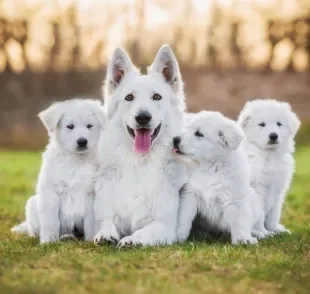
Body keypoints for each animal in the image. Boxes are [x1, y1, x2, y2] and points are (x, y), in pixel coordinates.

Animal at [11, 99, 105, 243]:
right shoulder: (51, 191)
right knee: (34, 230)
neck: (75, 160)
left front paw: (90, 240)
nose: (82, 141)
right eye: (70, 126)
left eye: (89, 126)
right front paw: (48, 241)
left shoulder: (92, 194)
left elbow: (91, 222)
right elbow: (51, 221)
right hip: (32, 204)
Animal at [93, 45, 188, 248]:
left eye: (157, 97)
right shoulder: (106, 214)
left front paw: (132, 239)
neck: (139, 162)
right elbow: (107, 222)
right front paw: (105, 234)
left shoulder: (164, 225)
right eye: (129, 97)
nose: (143, 117)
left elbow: (146, 231)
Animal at [174, 111, 266, 245]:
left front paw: (243, 239)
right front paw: (178, 238)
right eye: (187, 127)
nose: (174, 139)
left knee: (257, 225)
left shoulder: (235, 199)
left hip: (256, 203)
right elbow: (183, 218)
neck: (209, 168)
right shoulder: (190, 195)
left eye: (199, 134)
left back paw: (261, 234)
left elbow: (240, 222)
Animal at [237, 99, 300, 234]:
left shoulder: (277, 190)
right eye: (262, 124)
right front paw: (264, 233)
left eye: (279, 124)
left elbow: (274, 213)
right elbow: (260, 214)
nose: (273, 136)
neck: (268, 155)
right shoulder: (258, 189)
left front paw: (276, 230)